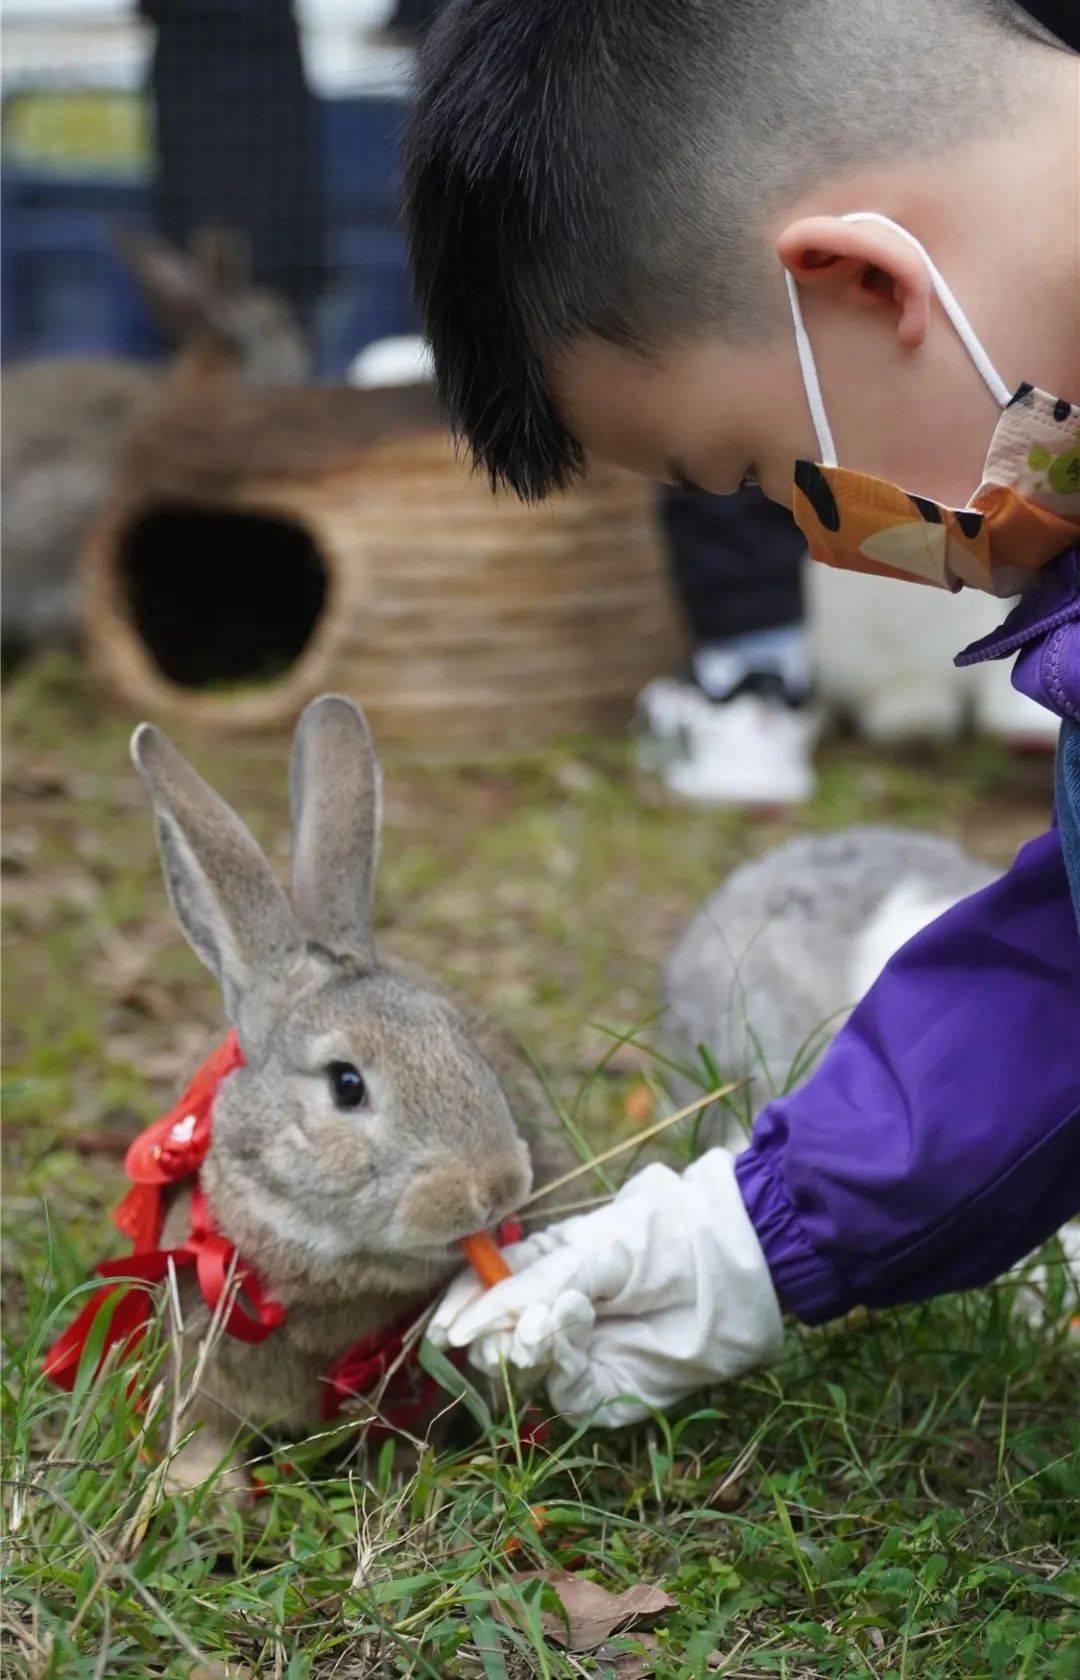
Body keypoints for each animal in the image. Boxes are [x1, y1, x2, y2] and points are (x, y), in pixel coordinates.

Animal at [132, 688, 574, 1491]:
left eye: (459, 1037)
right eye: (346, 1085)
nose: (494, 1187)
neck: (330, 1271)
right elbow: (199, 1431)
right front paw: (200, 1491)